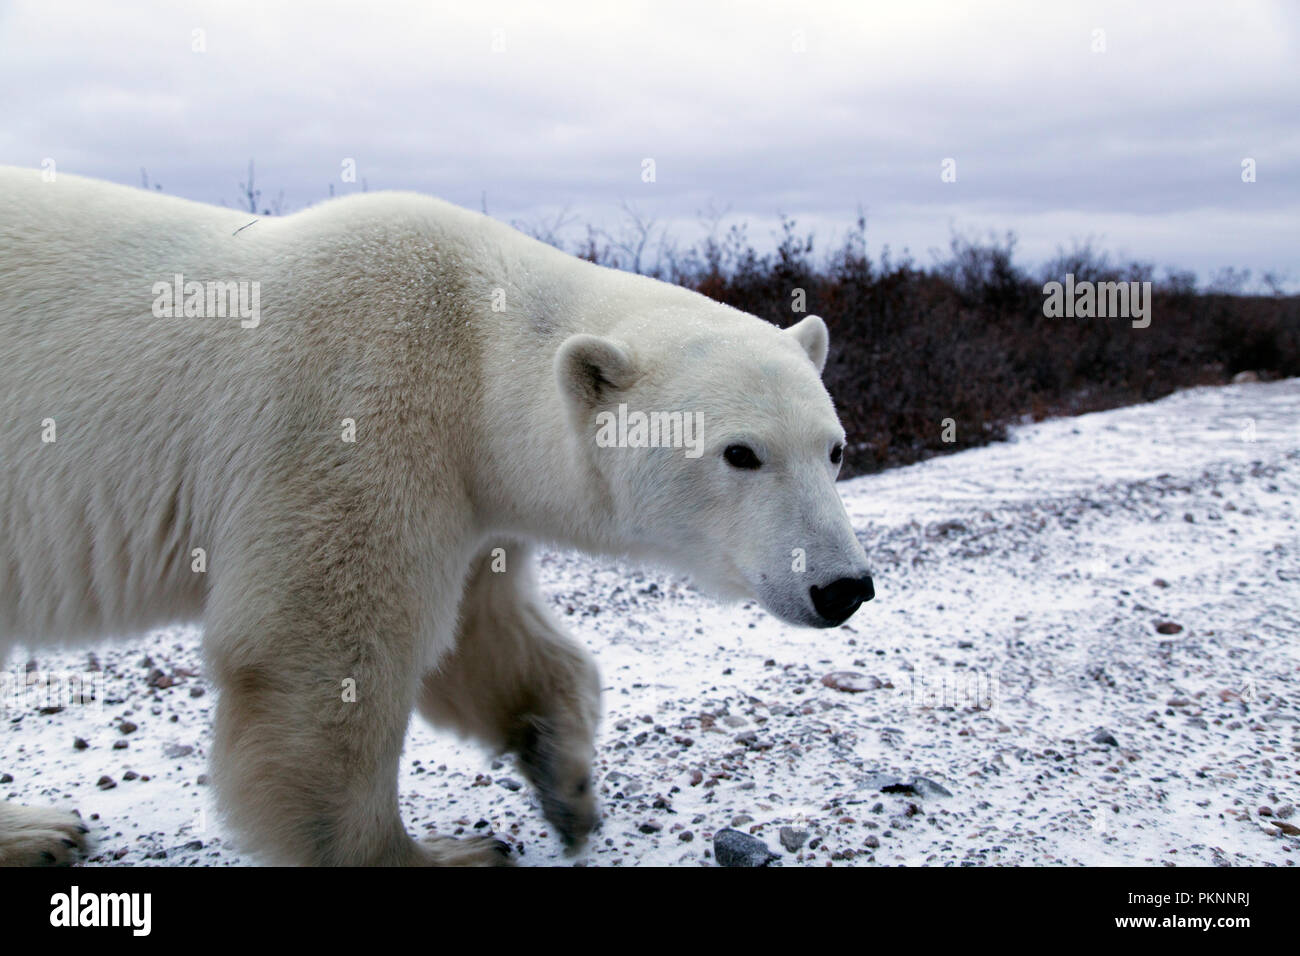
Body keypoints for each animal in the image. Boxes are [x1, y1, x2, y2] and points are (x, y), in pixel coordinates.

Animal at [2, 166, 873, 868]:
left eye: (833, 448)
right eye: (740, 453)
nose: (843, 587)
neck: (471, 341)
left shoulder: (471, 489)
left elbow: (486, 633)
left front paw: (563, 777)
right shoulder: (351, 410)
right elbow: (317, 649)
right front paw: (443, 853)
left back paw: (43, 828)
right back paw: (41, 829)